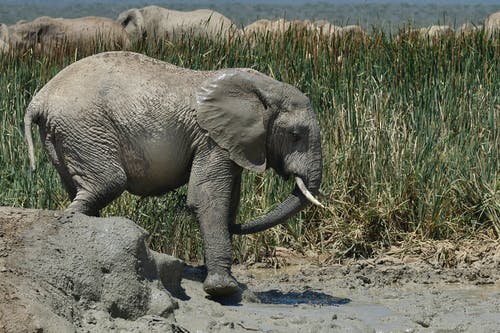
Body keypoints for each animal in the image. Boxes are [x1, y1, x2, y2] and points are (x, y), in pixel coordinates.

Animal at [25, 51, 324, 296]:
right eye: (295, 135)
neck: (264, 87)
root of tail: (39, 99)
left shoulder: (233, 143)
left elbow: (229, 200)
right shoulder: (211, 138)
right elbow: (207, 198)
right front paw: (223, 289)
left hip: (65, 135)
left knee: (83, 190)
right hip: (83, 126)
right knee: (108, 183)